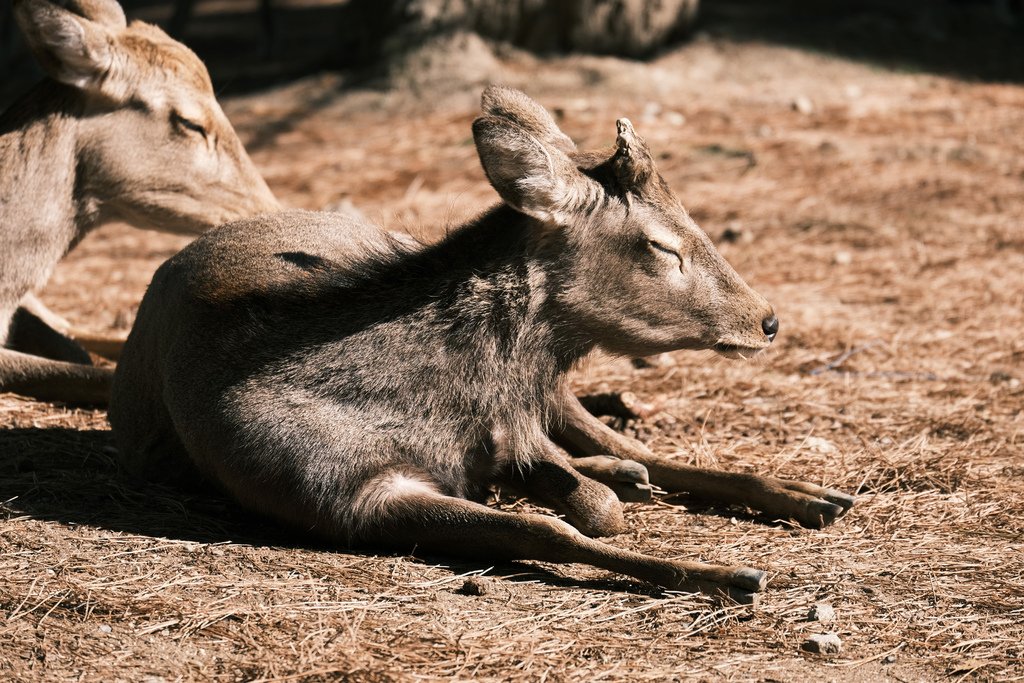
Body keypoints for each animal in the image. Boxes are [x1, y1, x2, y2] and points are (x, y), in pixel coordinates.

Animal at [108, 87, 856, 602]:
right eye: (661, 245)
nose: (767, 320)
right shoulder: (340, 494)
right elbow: (557, 527)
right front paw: (727, 573)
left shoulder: (507, 422)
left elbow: (586, 498)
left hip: (541, 387)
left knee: (638, 448)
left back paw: (815, 495)